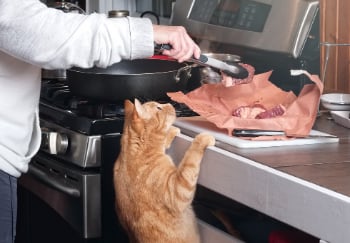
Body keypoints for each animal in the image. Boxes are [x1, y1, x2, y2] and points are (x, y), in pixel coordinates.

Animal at [113, 99, 215, 243]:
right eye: (159, 108)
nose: (170, 104)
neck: (136, 152)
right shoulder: (179, 191)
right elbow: (191, 157)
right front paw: (202, 139)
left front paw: (171, 131)